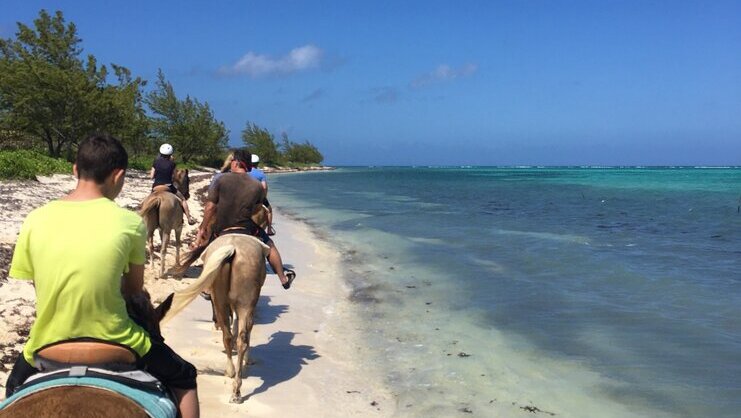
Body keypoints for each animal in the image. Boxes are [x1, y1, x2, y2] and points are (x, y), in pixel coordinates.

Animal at [163, 234, 269, 403]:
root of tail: (233, 248)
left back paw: (234, 383)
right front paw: (248, 360)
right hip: (244, 303)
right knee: (241, 338)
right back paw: (235, 382)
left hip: (221, 300)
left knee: (229, 336)